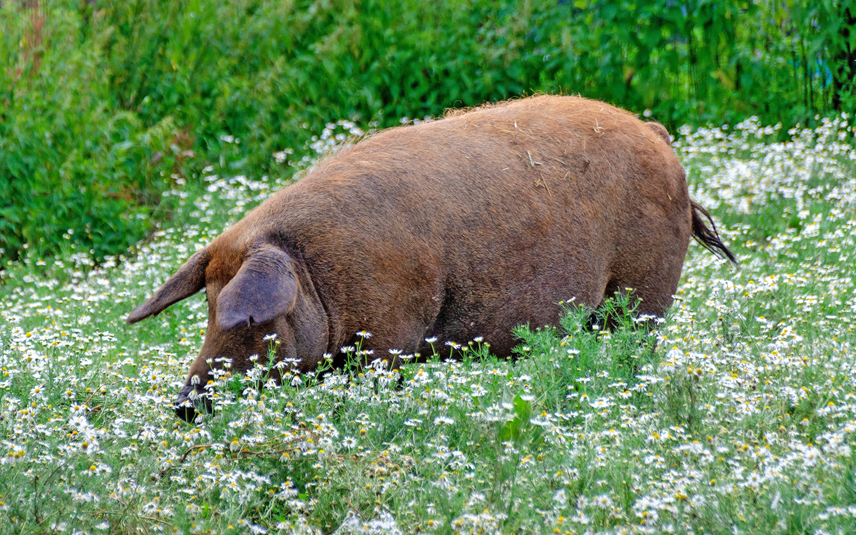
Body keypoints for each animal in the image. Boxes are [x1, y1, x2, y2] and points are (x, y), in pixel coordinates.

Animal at [125, 96, 736, 422]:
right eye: (206, 307)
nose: (183, 406)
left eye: (251, 319)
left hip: (645, 291)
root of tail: (657, 136)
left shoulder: (392, 336)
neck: (317, 276)